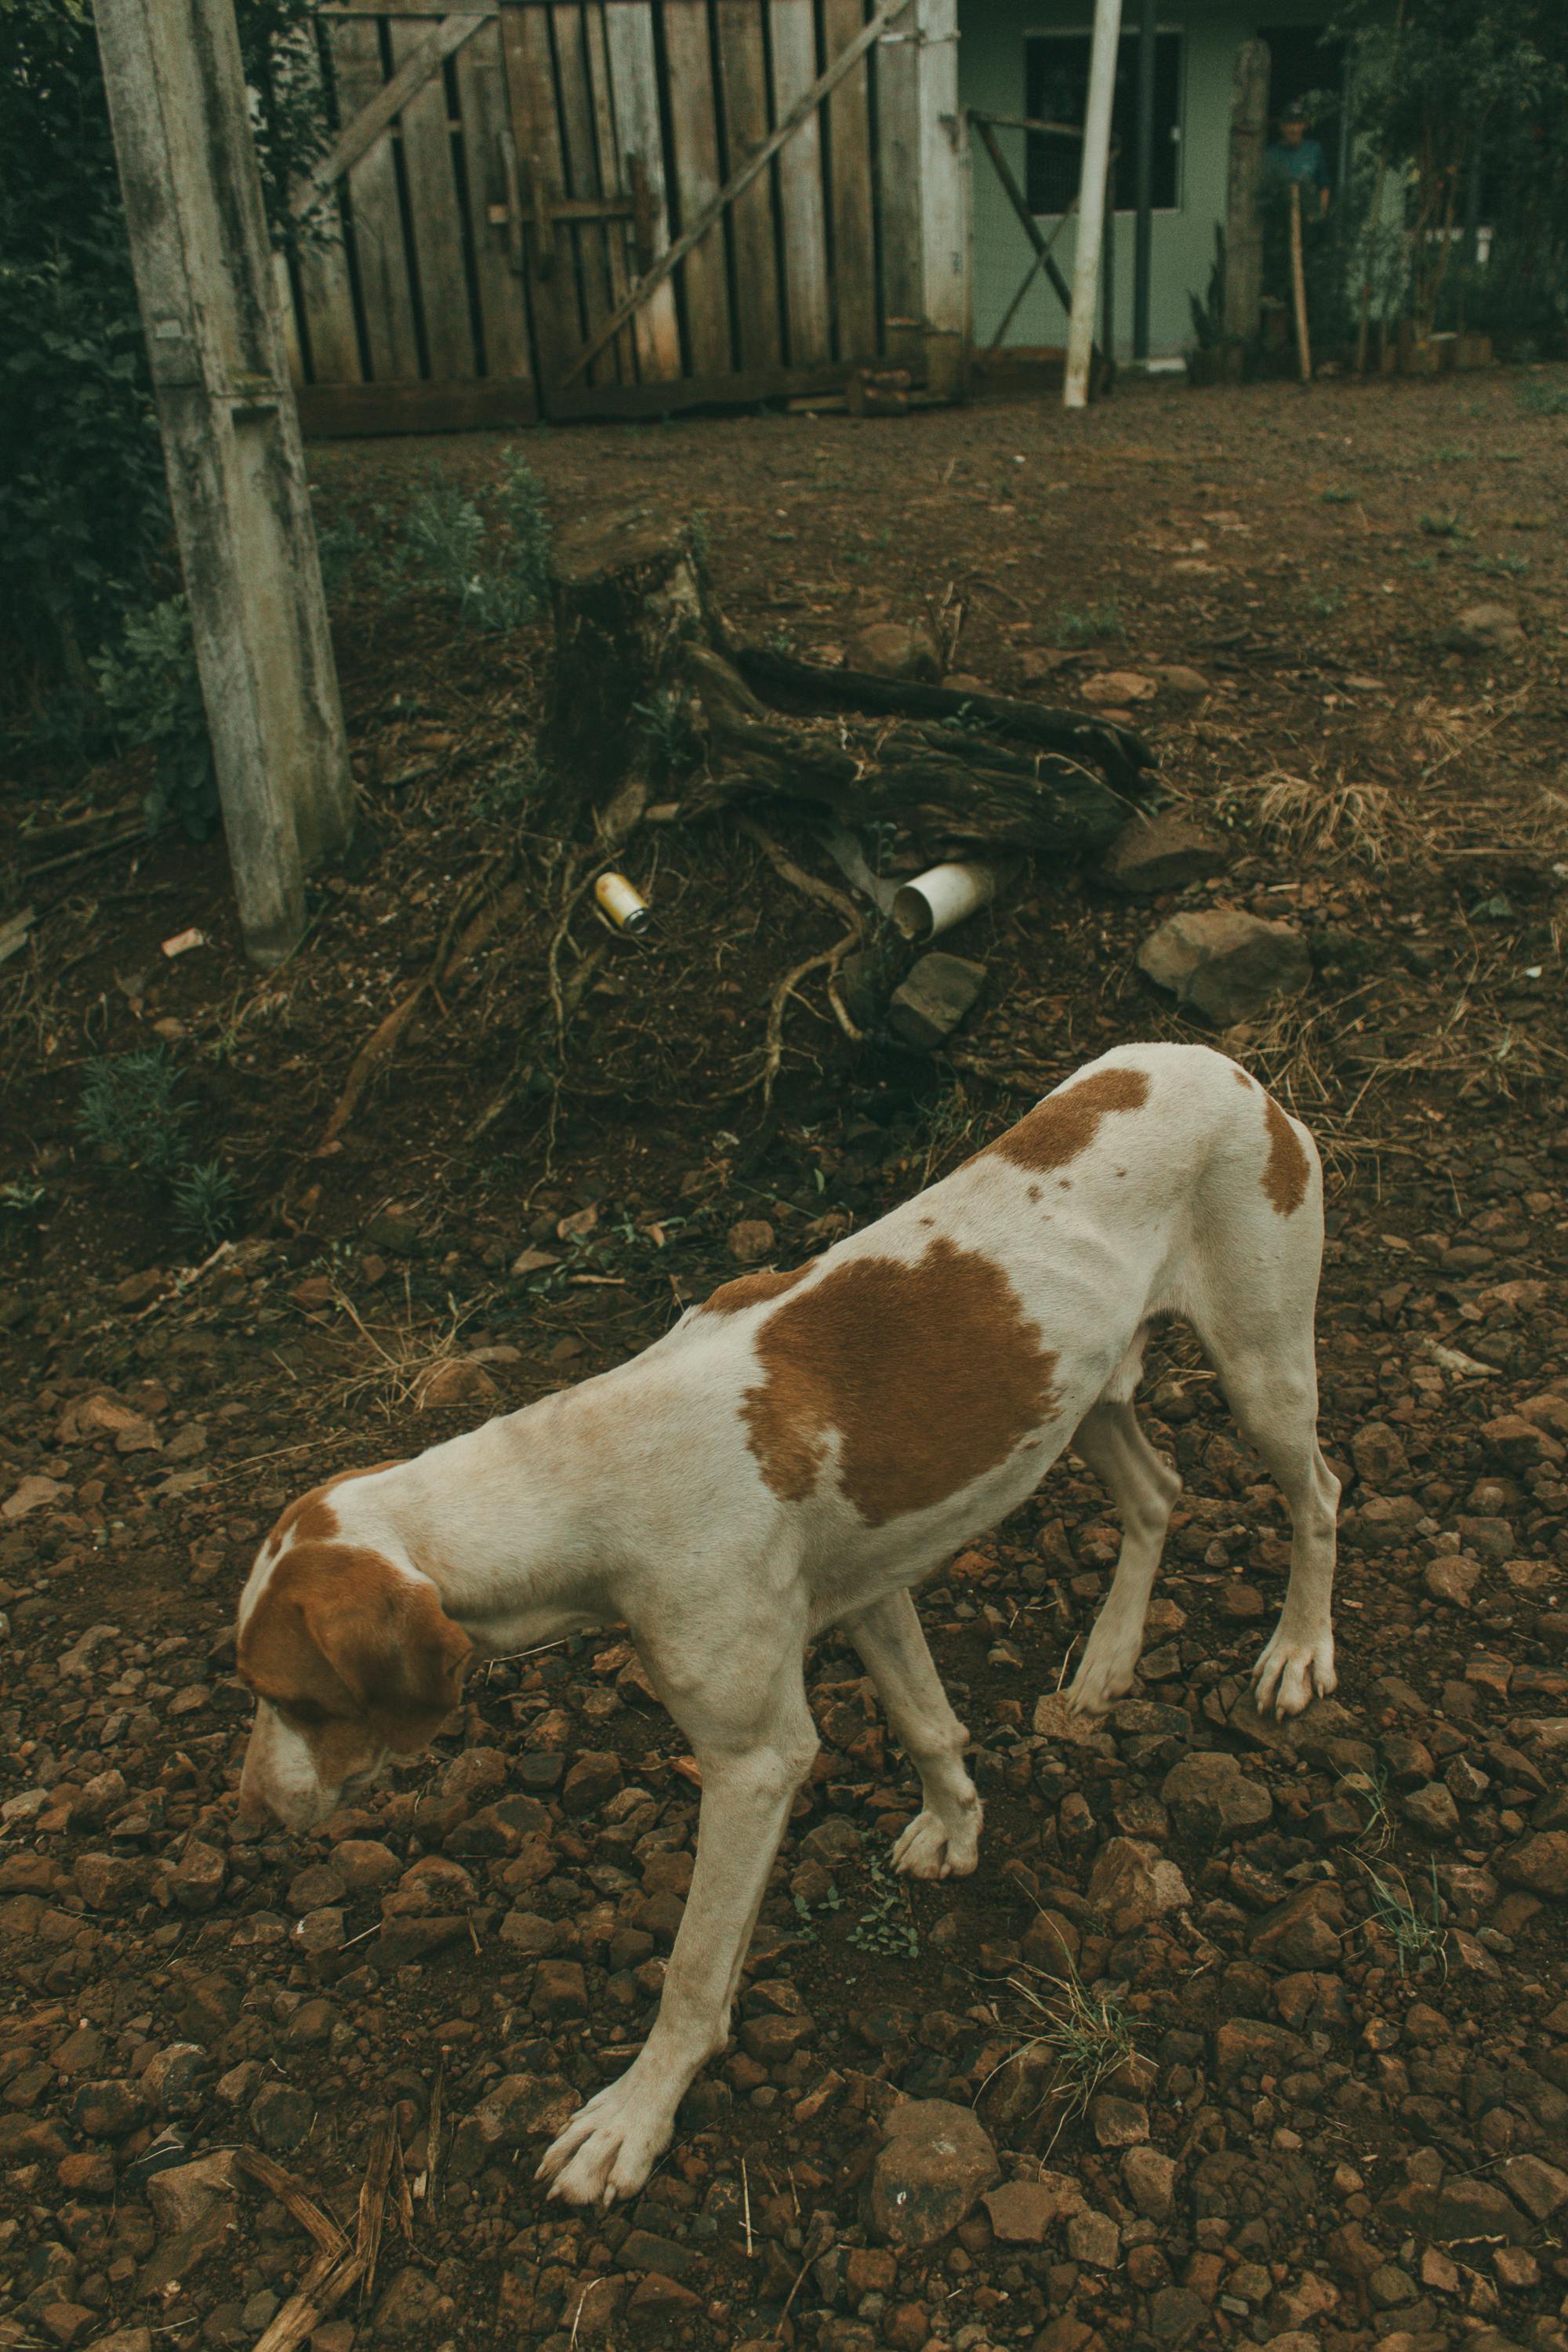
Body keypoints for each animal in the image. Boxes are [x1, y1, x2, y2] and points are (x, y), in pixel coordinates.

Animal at [239, 1049, 1345, 2201]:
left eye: (293, 1700)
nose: (252, 1808)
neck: (577, 1473)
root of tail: (1213, 1063)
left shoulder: (752, 1763)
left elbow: (691, 1967)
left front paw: (632, 2118)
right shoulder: (868, 1592)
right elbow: (927, 1727)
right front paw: (956, 1829)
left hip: (1263, 1371)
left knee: (1318, 1496)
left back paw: (1297, 1653)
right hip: (1082, 1400)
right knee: (1157, 1495)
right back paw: (1110, 1660)